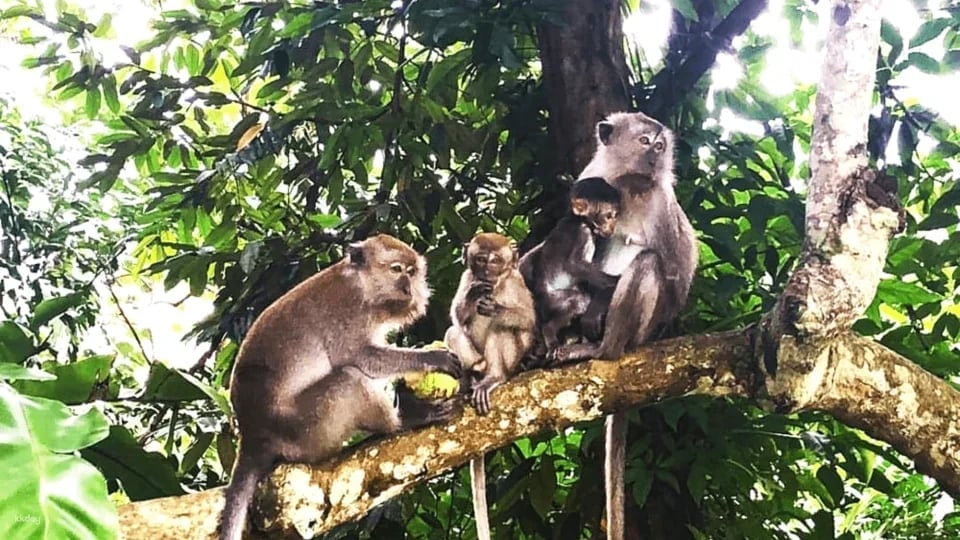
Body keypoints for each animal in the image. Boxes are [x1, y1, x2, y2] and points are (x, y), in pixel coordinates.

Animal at [219, 234, 463, 540]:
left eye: (412, 272)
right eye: (396, 270)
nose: (410, 290)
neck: (361, 284)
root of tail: (253, 434)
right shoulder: (348, 313)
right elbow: (363, 359)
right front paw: (432, 359)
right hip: (308, 430)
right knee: (349, 379)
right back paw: (404, 420)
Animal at [444, 232, 536, 540]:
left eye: (496, 261)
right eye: (480, 260)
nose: (486, 272)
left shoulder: (516, 281)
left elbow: (528, 319)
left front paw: (494, 306)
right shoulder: (465, 277)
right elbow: (457, 316)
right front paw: (475, 295)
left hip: (511, 361)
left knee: (502, 328)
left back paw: (492, 377)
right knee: (453, 332)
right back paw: (472, 373)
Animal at [518, 177, 621, 356]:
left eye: (615, 216)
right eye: (608, 216)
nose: (613, 226)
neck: (576, 219)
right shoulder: (583, 231)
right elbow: (574, 264)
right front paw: (615, 280)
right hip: (553, 299)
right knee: (577, 301)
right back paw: (549, 332)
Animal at [553, 112, 698, 540]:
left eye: (661, 145)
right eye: (645, 140)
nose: (656, 155)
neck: (629, 182)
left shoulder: (662, 203)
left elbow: (673, 273)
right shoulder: (593, 177)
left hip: (643, 329)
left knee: (647, 265)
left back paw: (602, 348)